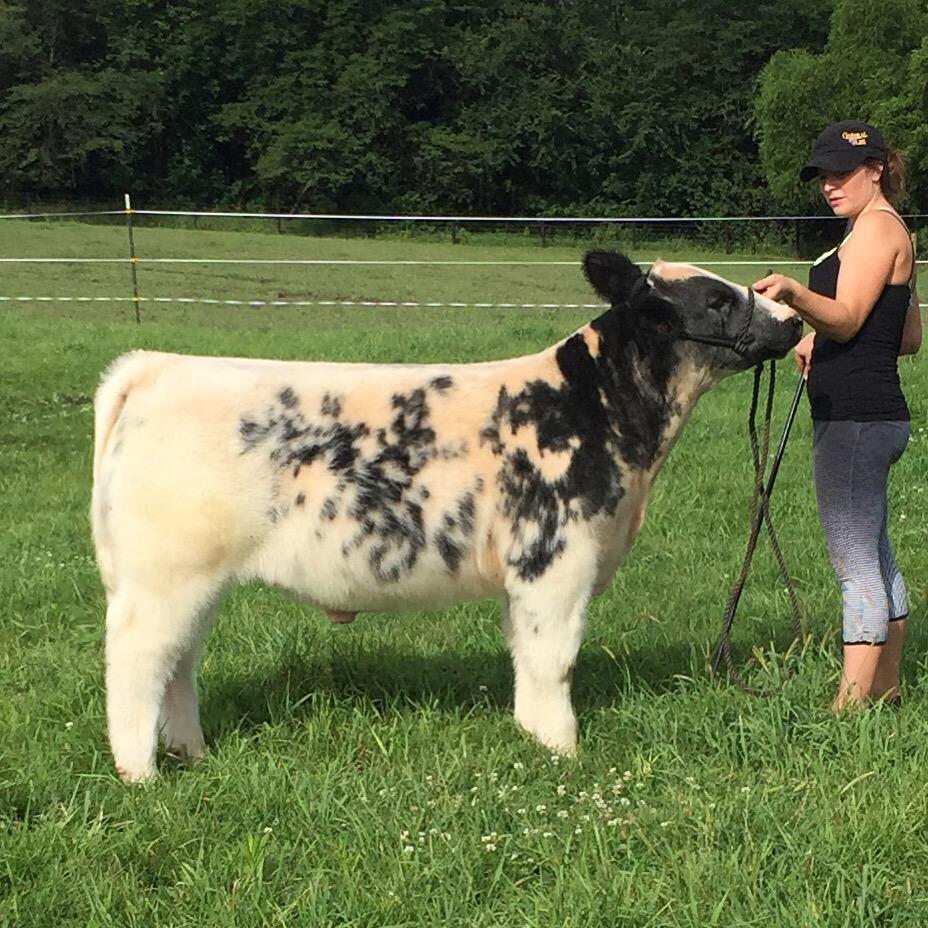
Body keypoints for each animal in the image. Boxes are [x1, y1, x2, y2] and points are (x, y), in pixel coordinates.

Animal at [91, 250, 801, 781]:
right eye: (716, 300)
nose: (792, 319)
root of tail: (157, 367)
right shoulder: (555, 560)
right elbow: (554, 658)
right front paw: (564, 749)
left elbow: (525, 654)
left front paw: (532, 737)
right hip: (163, 578)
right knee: (137, 661)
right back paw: (141, 773)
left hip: (195, 581)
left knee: (178, 662)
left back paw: (191, 751)